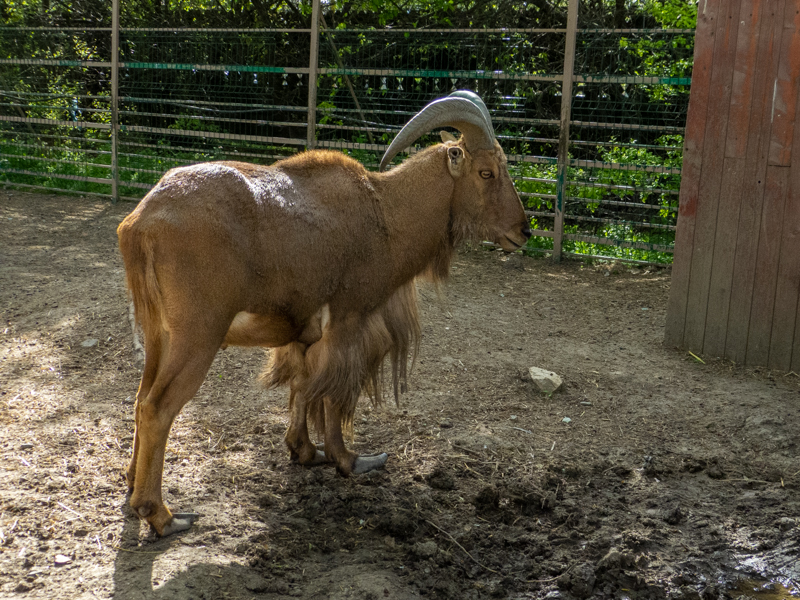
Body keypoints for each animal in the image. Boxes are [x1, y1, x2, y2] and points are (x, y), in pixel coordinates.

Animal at [117, 90, 531, 536]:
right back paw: (161, 514)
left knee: (140, 399)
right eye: (487, 173)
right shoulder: (348, 322)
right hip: (198, 335)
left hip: (158, 335)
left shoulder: (304, 334)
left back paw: (132, 489)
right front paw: (349, 460)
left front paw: (305, 452)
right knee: (157, 408)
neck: (385, 215)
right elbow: (334, 393)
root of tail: (140, 223)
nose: (524, 231)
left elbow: (302, 385)